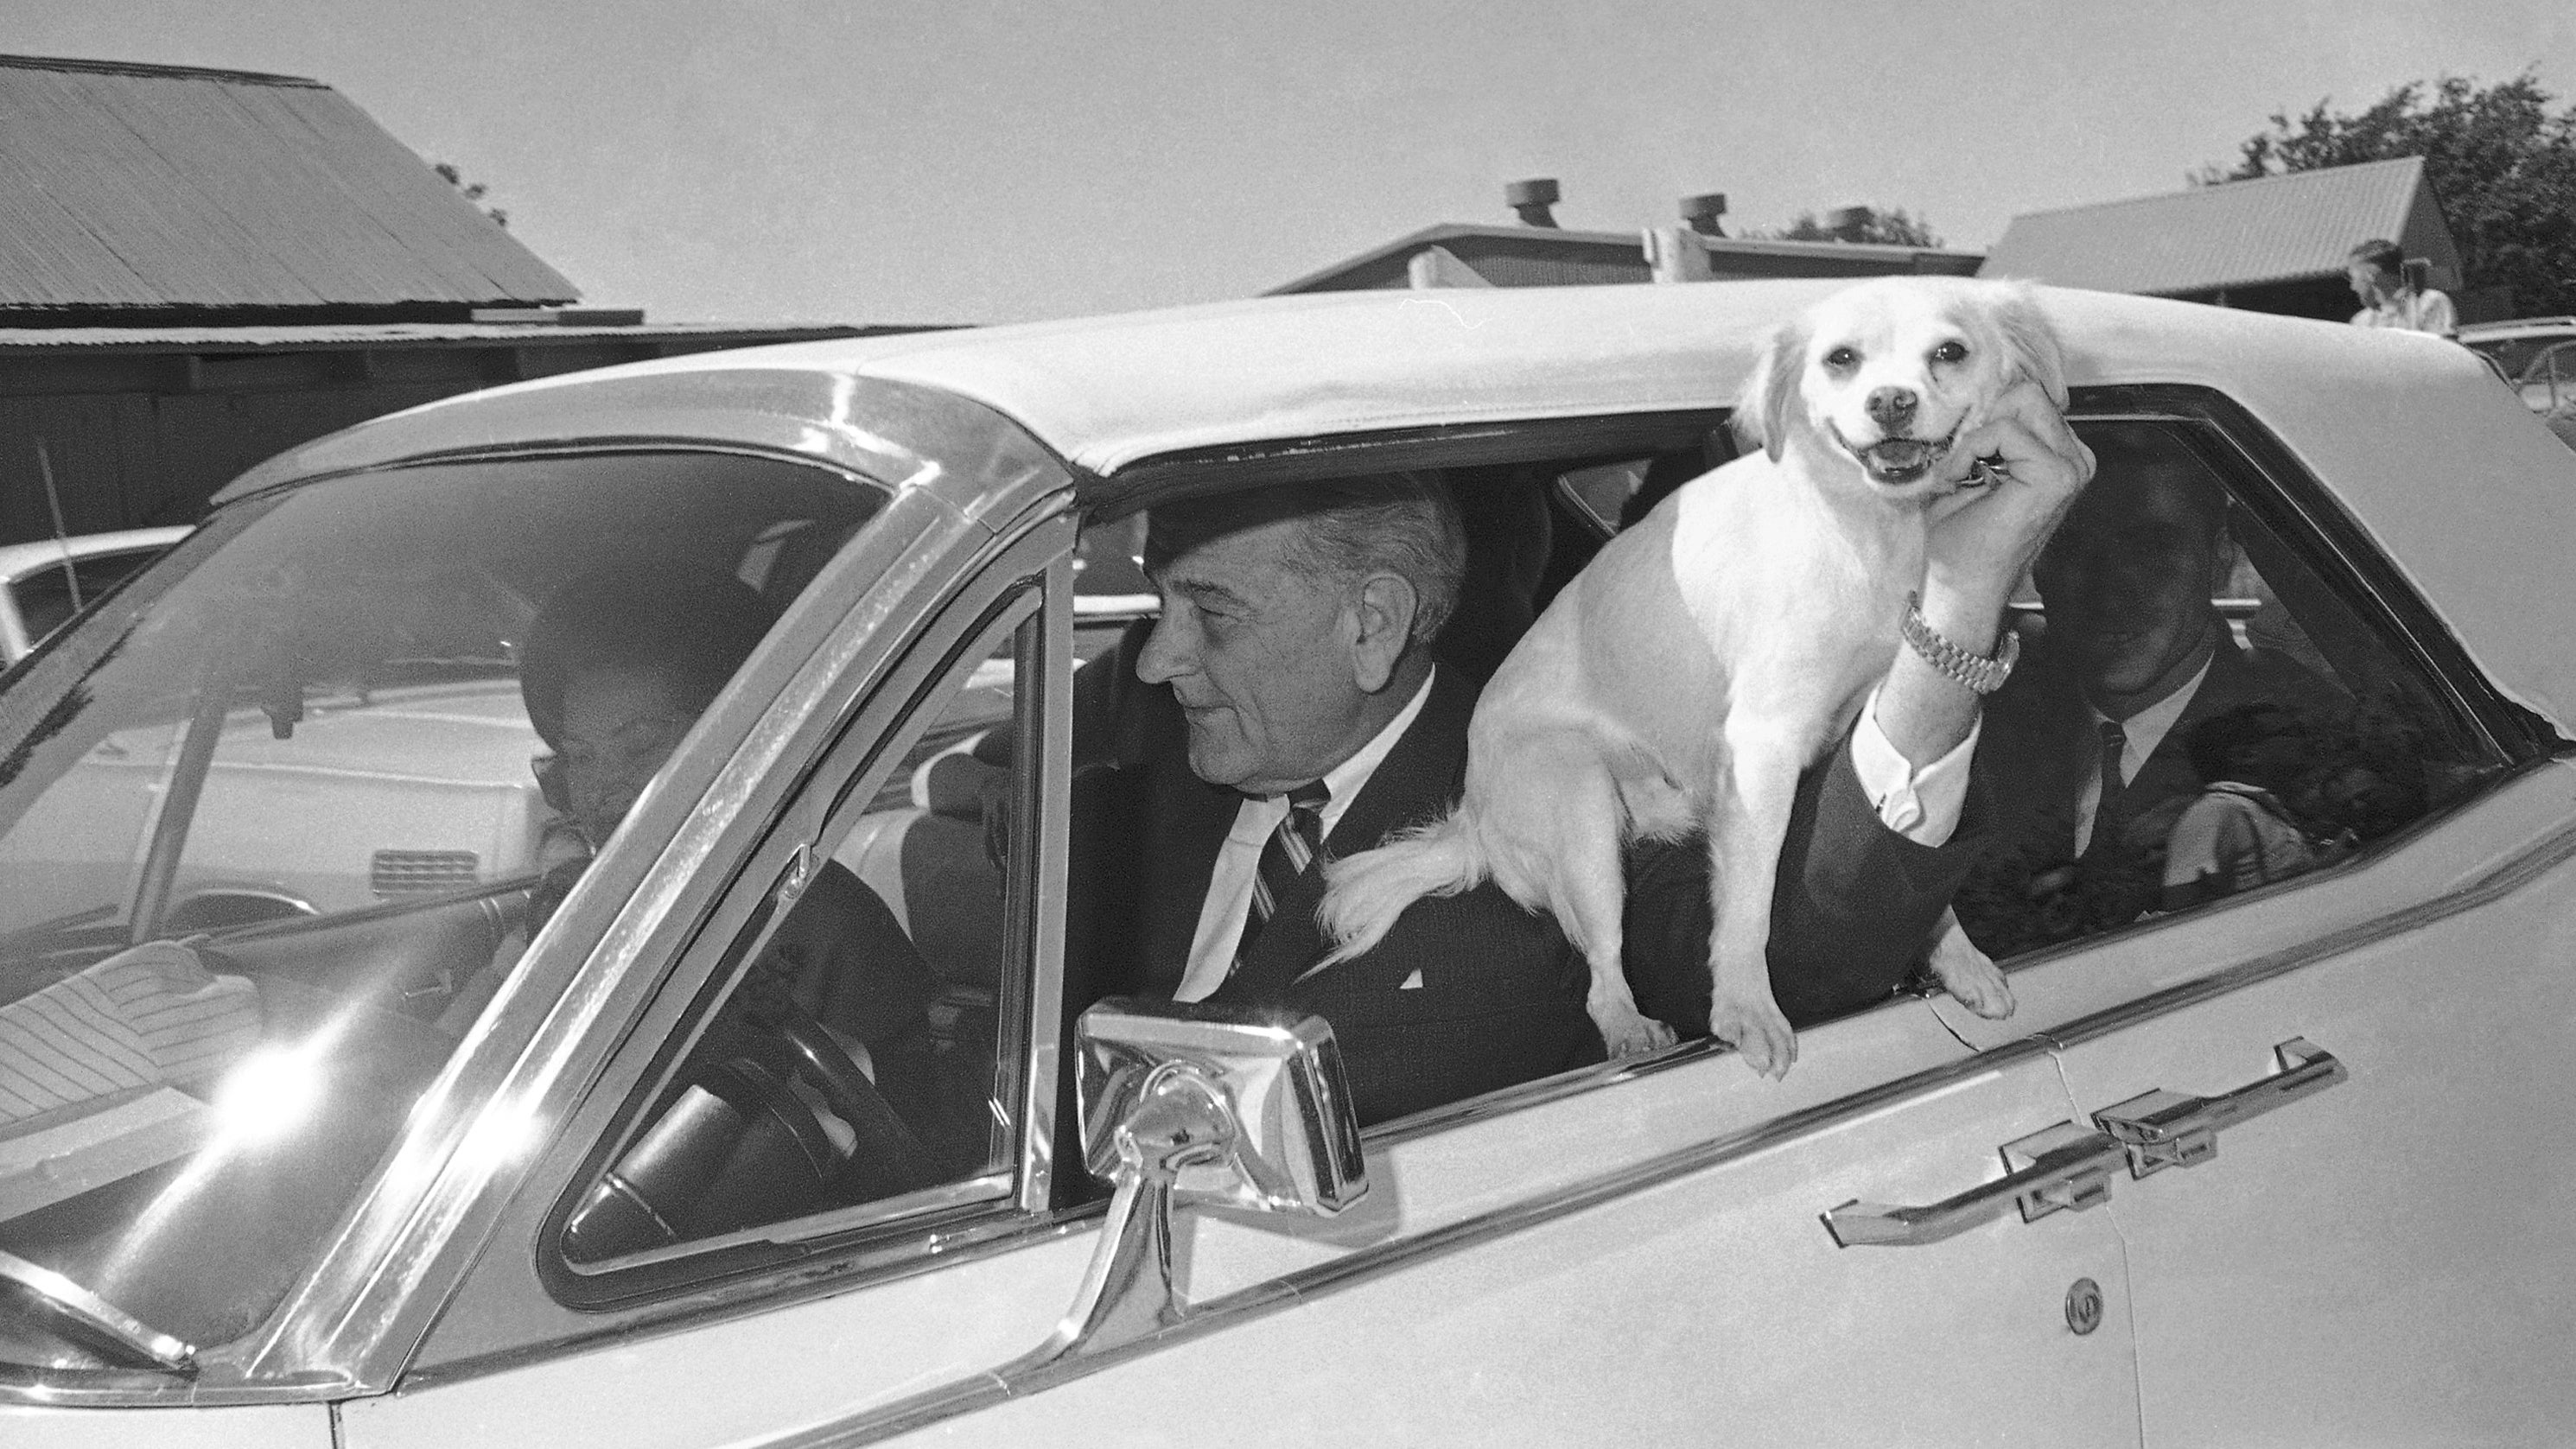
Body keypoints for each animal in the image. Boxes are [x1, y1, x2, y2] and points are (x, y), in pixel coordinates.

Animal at [1319, 280, 2060, 1076]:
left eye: (1949, 351)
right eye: (1841, 359)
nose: (1890, 401)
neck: (1871, 526)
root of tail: (1474, 819)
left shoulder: (1857, 731)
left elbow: (1902, 841)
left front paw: (1958, 956)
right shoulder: (1764, 747)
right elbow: (1749, 905)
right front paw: (1745, 1008)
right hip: (1580, 806)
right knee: (1602, 971)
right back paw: (1630, 1027)